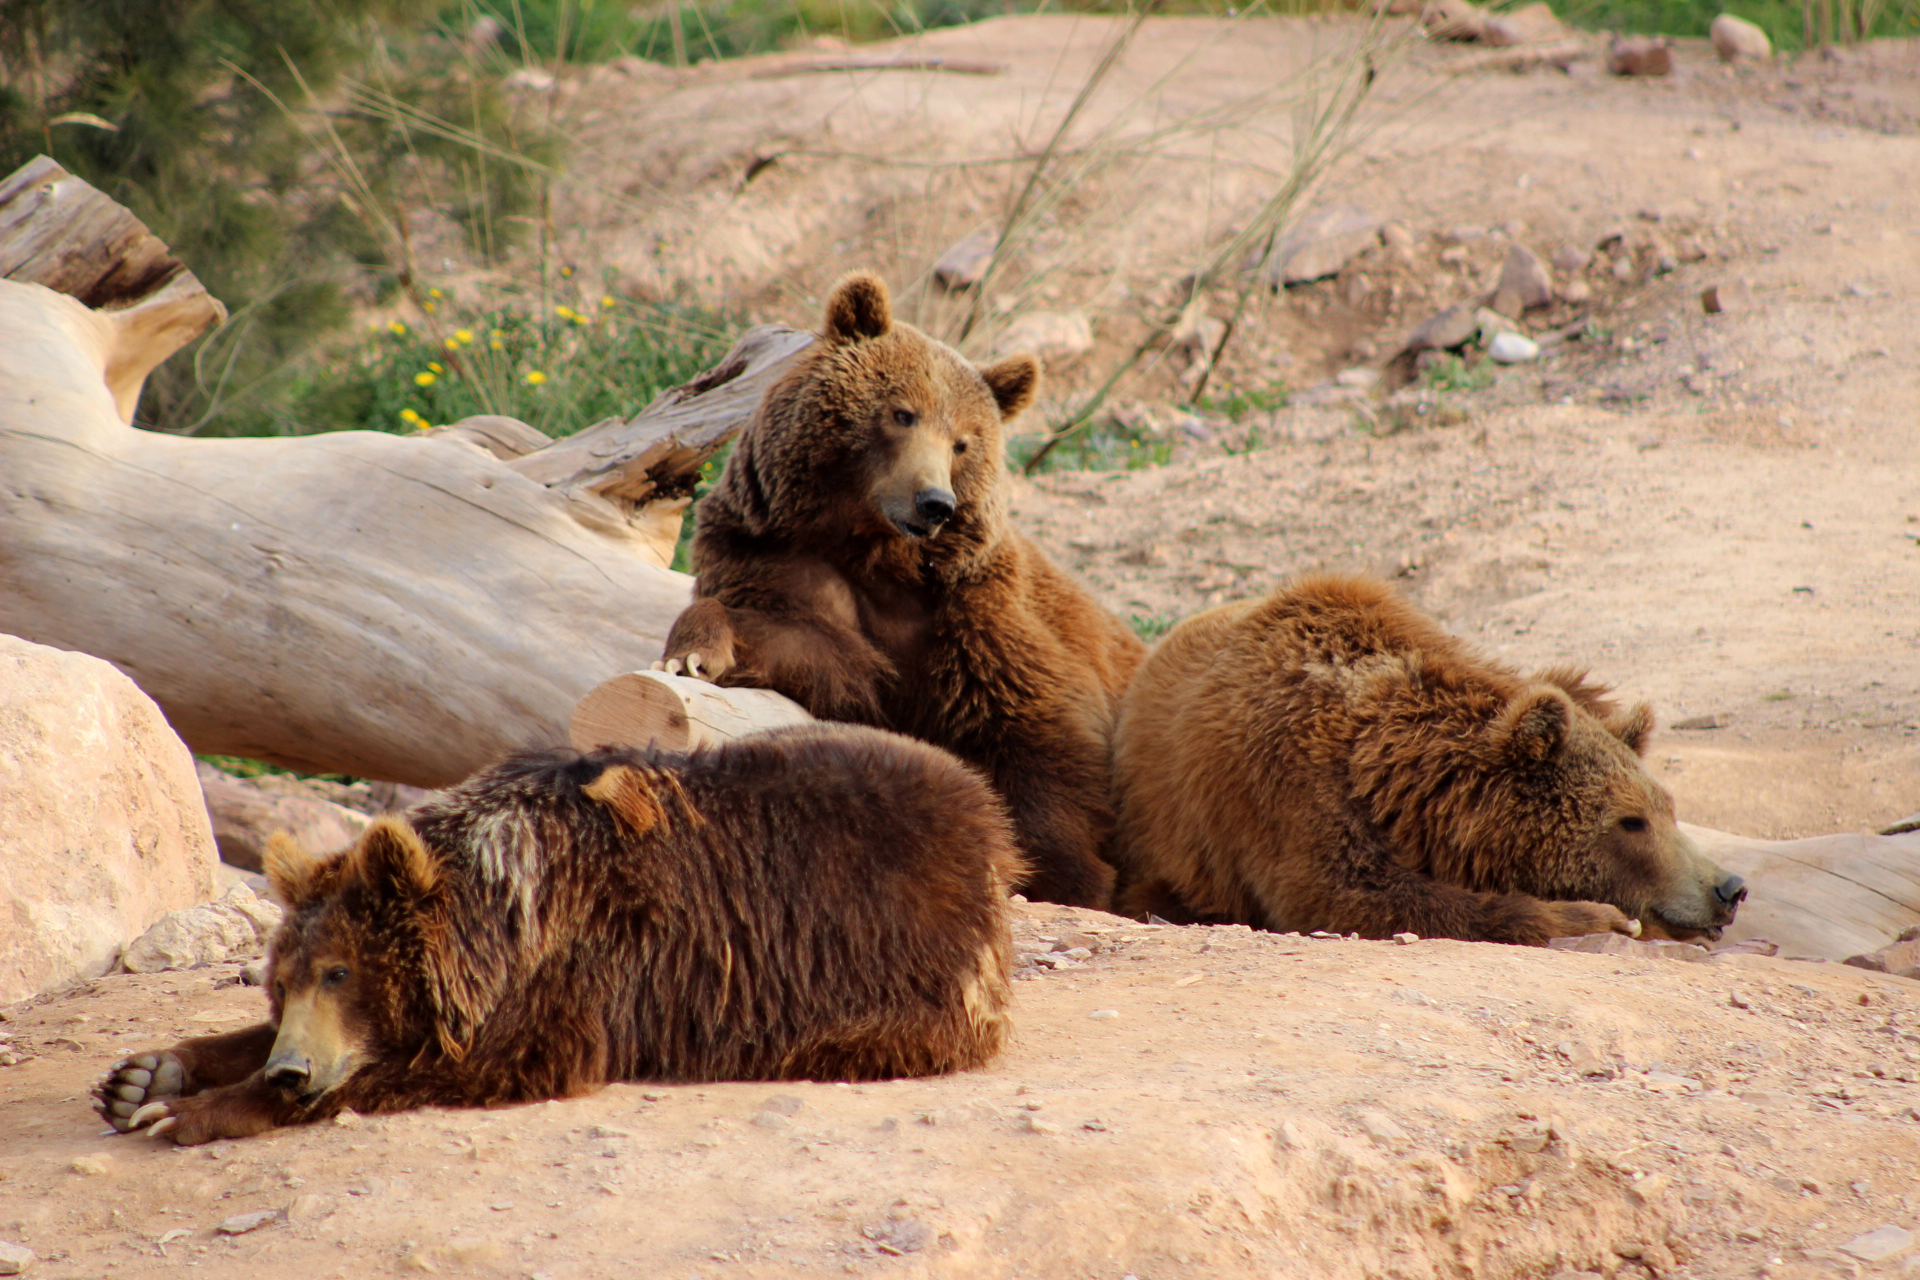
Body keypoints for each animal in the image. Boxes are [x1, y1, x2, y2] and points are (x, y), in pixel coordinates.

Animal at [92, 725, 1021, 1144]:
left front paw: (189, 1108)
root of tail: (988, 816)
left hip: (896, 973)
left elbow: (467, 1061)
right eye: (280, 981)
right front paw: (145, 1075)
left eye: (340, 974)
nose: (294, 1068)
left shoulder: (580, 970)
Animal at [658, 272, 1145, 910]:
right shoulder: (780, 556)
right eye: (902, 413)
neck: (873, 547)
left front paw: (1066, 874)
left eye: (964, 441)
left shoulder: (973, 604)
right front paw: (695, 652)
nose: (935, 502)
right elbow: (815, 649)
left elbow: (1039, 724)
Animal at [1108, 574, 1747, 945]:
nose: (1728, 887)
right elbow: (1351, 895)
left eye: (1668, 810)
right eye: (1630, 821)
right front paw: (1590, 915)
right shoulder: (1285, 791)